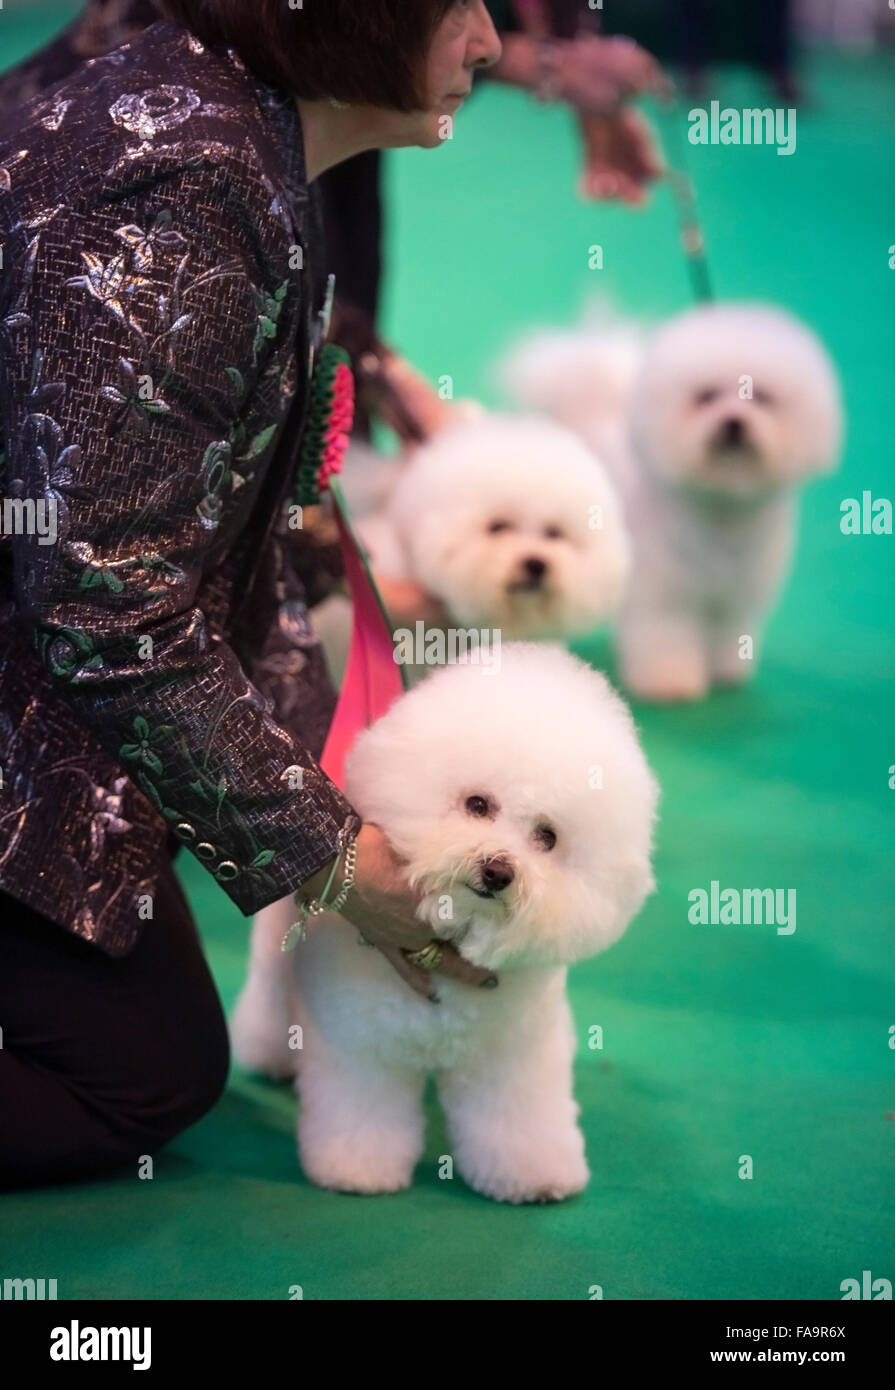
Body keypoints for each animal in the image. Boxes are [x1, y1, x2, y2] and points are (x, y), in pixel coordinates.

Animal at [229, 644, 655, 1200]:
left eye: (547, 837)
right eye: (478, 804)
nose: (497, 870)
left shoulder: (510, 1056)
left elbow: (516, 1119)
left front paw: (532, 1176)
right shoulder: (362, 1045)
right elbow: (361, 1112)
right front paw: (355, 1170)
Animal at [505, 301, 844, 695]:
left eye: (762, 397)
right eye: (706, 396)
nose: (734, 422)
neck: (722, 512)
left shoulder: (734, 598)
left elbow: (728, 633)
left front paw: (726, 671)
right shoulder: (665, 595)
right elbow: (666, 636)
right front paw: (669, 681)